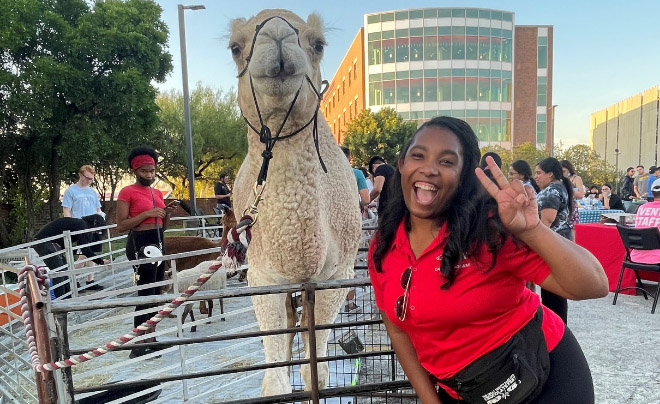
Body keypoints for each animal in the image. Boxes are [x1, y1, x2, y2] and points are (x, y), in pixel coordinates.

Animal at [227, 7, 360, 396]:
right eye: (235, 48)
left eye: (318, 44)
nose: (277, 36)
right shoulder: (262, 277)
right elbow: (275, 380)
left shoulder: (336, 278)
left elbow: (317, 372)